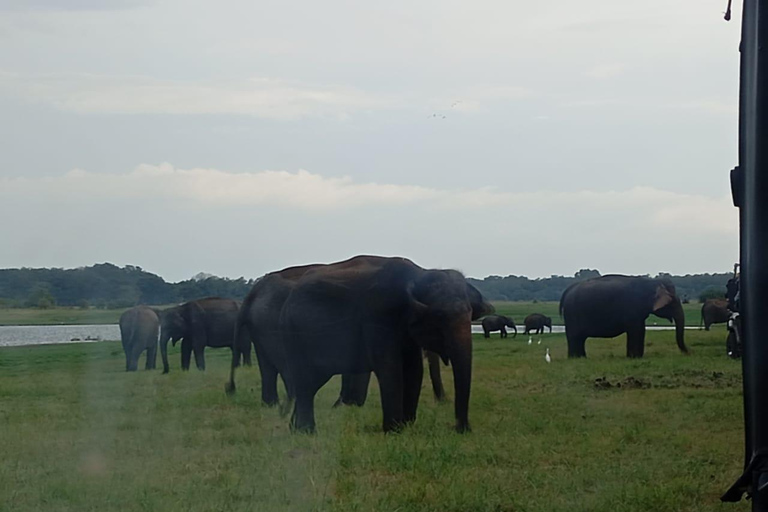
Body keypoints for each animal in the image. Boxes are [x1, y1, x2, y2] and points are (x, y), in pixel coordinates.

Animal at [276, 255, 492, 432]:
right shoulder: (378, 315)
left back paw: (295, 429)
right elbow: (389, 365)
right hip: (293, 334)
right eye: (439, 318)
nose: (461, 429)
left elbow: (414, 368)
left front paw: (407, 425)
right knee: (305, 382)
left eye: (471, 315)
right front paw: (394, 430)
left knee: (311, 383)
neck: (418, 275)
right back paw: (306, 431)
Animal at [556, 274, 688, 358]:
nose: (688, 353)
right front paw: (634, 357)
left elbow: (641, 330)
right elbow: (636, 330)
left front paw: (636, 356)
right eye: (673, 302)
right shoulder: (633, 309)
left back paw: (581, 358)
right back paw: (575, 358)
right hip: (572, 314)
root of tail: (567, 291)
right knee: (575, 337)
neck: (650, 283)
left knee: (580, 339)